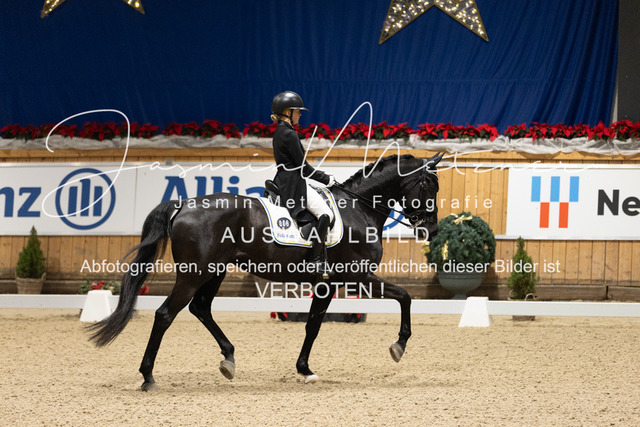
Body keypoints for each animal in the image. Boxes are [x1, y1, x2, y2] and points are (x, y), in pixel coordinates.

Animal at [88, 153, 443, 390]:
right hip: (194, 273)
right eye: (429, 187)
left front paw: (305, 369)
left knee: (200, 308)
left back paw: (229, 359)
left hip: (215, 271)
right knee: (165, 314)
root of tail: (184, 204)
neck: (359, 208)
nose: (432, 230)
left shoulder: (327, 284)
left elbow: (313, 326)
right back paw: (148, 376)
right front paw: (399, 346)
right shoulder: (356, 278)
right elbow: (405, 296)